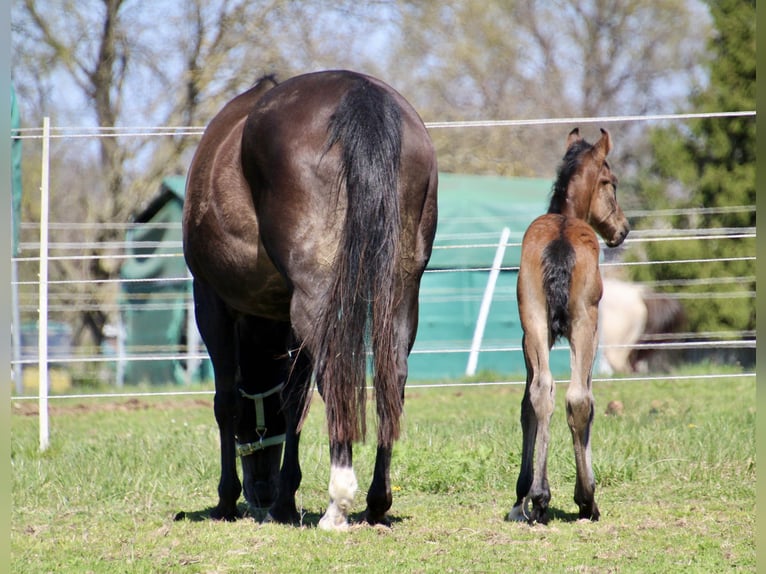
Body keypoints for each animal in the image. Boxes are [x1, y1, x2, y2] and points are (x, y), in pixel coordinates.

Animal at [182, 70, 438, 531]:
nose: (261, 491)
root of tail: (360, 94)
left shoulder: (210, 301)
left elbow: (226, 401)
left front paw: (226, 500)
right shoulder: (286, 316)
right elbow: (294, 399)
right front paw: (285, 501)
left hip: (317, 297)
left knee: (335, 376)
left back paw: (338, 504)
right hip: (400, 290)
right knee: (393, 376)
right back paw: (377, 502)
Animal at [507, 128, 629, 524]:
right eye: (612, 182)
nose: (622, 229)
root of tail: (559, 241)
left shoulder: (527, 338)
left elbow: (528, 404)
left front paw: (523, 496)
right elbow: (585, 400)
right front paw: (584, 494)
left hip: (533, 322)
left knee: (541, 392)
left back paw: (538, 497)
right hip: (583, 323)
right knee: (578, 398)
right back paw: (586, 499)